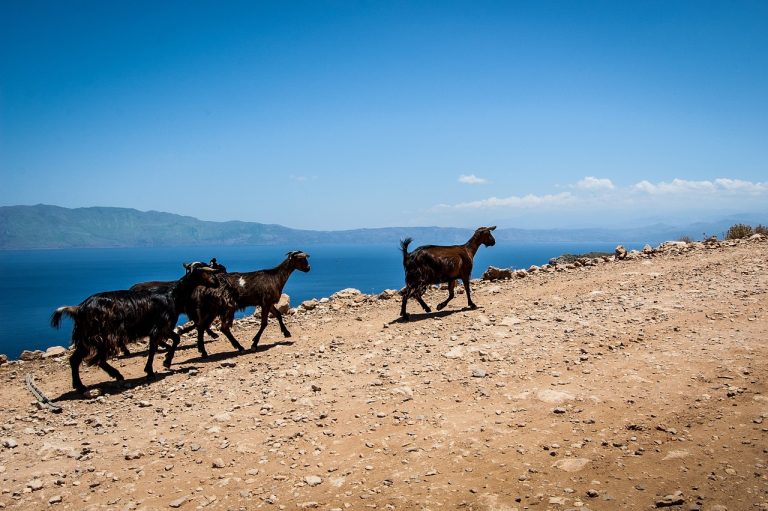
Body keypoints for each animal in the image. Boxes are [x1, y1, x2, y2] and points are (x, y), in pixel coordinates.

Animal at [51, 262, 219, 394]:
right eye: (206, 271)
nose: (216, 283)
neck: (173, 295)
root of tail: (79, 308)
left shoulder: (163, 327)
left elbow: (175, 339)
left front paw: (166, 361)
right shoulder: (160, 326)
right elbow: (154, 348)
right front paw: (151, 370)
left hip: (87, 337)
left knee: (77, 359)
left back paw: (85, 384)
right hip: (100, 335)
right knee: (95, 358)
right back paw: (106, 377)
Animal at [164, 250, 310, 366]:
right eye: (301, 258)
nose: (309, 268)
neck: (276, 276)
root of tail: (202, 289)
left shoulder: (267, 303)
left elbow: (278, 315)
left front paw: (286, 333)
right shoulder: (266, 302)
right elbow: (264, 323)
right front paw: (254, 344)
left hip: (212, 309)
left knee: (201, 326)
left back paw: (204, 351)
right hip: (225, 307)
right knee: (221, 327)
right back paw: (238, 347)